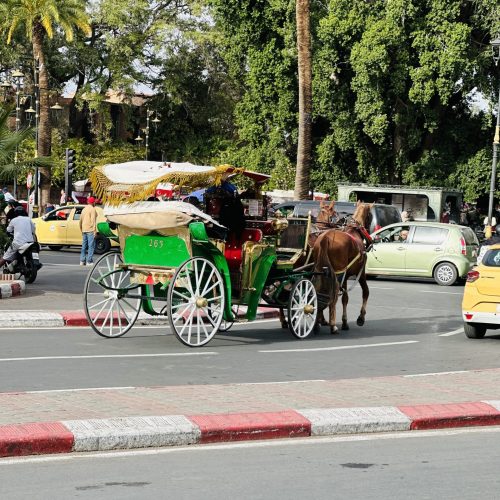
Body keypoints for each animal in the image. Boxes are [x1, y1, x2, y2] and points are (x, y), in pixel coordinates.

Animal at [312, 201, 372, 334]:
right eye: (370, 216)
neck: (355, 230)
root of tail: (325, 238)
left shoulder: (345, 275)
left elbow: (344, 298)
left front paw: (344, 321)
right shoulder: (360, 273)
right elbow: (365, 292)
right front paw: (360, 317)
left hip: (321, 271)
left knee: (319, 292)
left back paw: (317, 323)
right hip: (337, 274)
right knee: (333, 295)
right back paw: (332, 325)